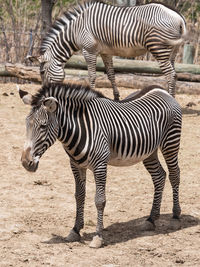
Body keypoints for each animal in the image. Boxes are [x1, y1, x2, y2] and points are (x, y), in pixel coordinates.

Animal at [19, 83, 182, 249]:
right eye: (26, 124)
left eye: (43, 126)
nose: (26, 162)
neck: (80, 129)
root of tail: (162, 90)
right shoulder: (76, 165)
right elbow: (79, 196)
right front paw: (75, 230)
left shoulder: (100, 165)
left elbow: (99, 200)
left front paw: (98, 236)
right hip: (149, 152)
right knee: (159, 176)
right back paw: (151, 219)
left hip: (170, 142)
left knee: (174, 174)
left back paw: (175, 217)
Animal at [28, 0, 187, 100]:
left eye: (42, 72)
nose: (45, 94)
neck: (75, 30)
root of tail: (178, 16)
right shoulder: (106, 52)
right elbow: (111, 75)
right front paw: (116, 97)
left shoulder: (88, 50)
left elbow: (92, 75)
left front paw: (92, 94)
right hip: (172, 51)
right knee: (174, 75)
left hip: (159, 48)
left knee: (171, 75)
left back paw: (171, 98)